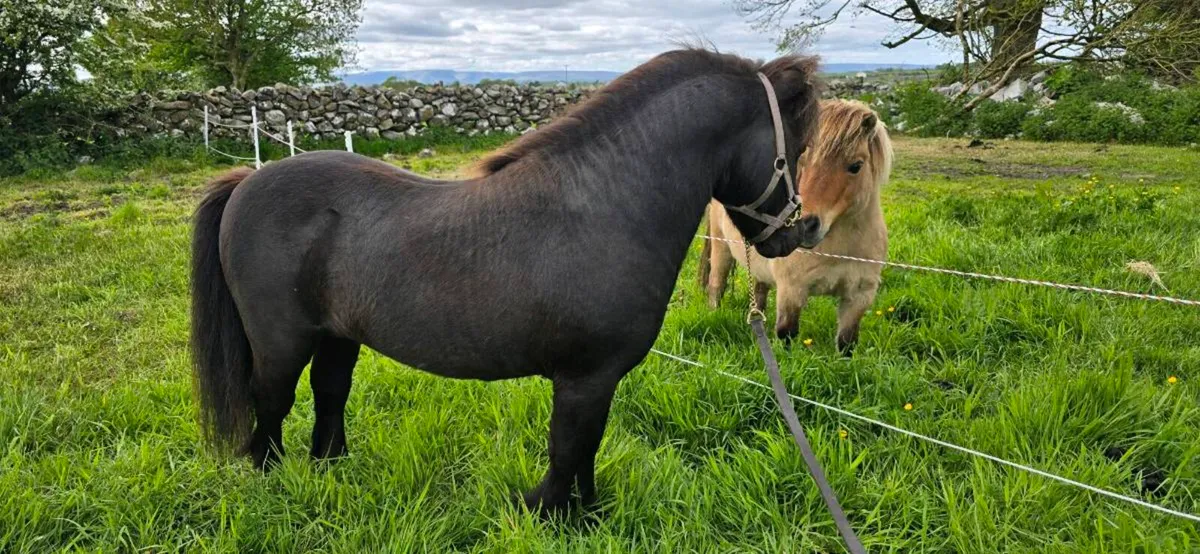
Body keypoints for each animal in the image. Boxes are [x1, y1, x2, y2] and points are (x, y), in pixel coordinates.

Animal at [190, 49, 823, 516]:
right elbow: (569, 448)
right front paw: (554, 514)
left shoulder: (596, 381)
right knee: (271, 406)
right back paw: (274, 483)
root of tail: (246, 183)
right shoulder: (584, 378)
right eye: (797, 147)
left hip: (338, 336)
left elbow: (585, 449)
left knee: (329, 395)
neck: (604, 208)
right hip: (281, 342)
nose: (800, 231)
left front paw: (586, 514)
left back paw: (332, 473)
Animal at [699, 99, 892, 355]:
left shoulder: (859, 297)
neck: (838, 250)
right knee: (716, 286)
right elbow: (786, 336)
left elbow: (846, 344)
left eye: (855, 166)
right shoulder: (791, 290)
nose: (803, 226)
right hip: (722, 250)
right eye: (802, 159)